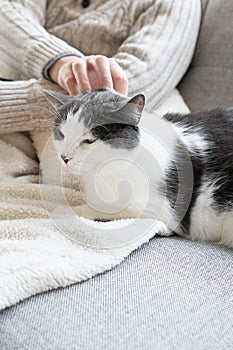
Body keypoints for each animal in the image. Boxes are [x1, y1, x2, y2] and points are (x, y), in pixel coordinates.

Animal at [44, 87, 233, 247]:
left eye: (89, 140)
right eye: (61, 134)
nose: (64, 157)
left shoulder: (162, 210)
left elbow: (111, 209)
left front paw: (64, 210)